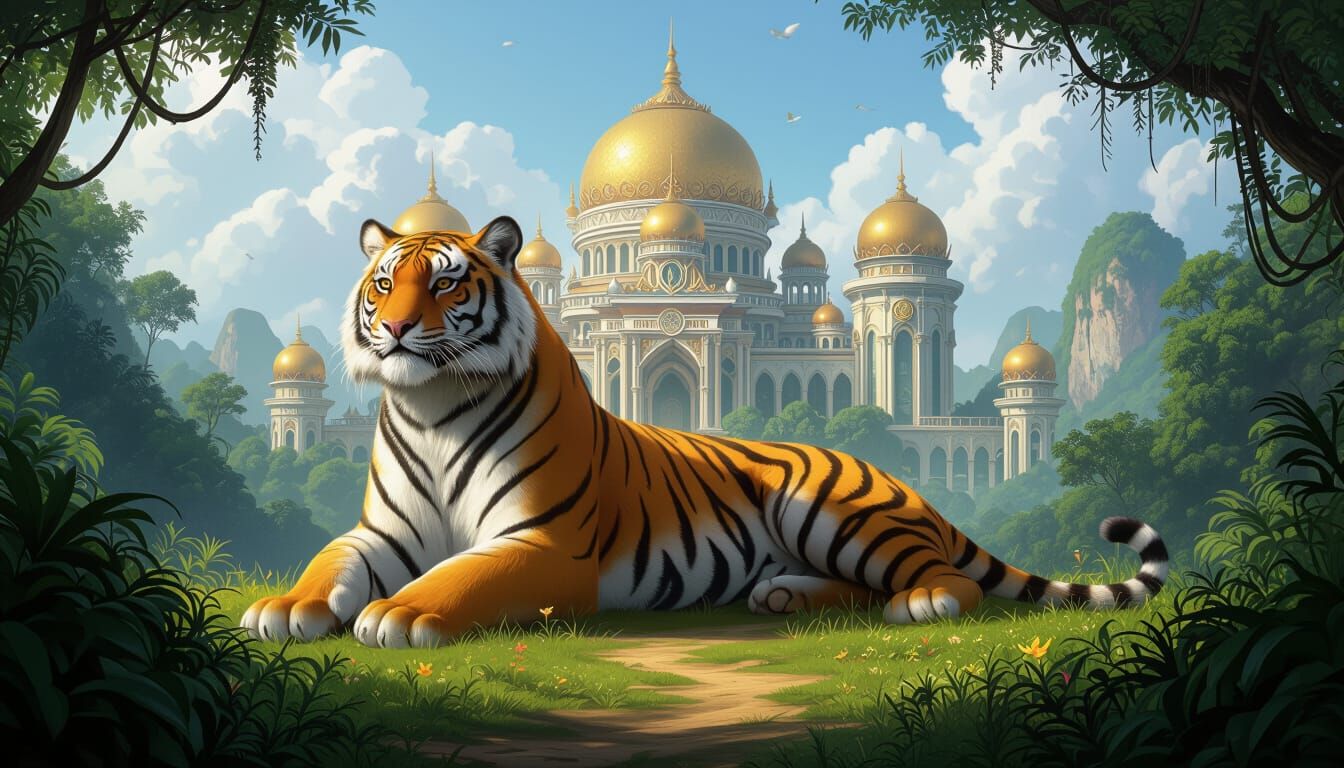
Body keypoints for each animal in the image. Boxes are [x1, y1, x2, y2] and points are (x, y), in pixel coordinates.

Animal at [240, 215, 1168, 648]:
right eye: (382, 282)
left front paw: (405, 611)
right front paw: (291, 603)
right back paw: (788, 593)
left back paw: (916, 593)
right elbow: (328, 564)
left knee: (940, 580)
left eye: (444, 284)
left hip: (837, 510)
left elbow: (459, 579)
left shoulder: (546, 544)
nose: (395, 331)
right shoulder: (381, 533)